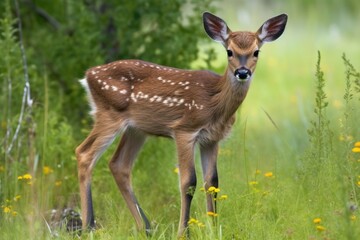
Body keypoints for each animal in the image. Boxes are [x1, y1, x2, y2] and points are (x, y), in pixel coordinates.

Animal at [75, 10, 286, 236]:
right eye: (229, 51)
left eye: (256, 52)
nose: (243, 72)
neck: (215, 102)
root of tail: (88, 75)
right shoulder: (185, 129)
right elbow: (189, 182)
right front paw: (183, 233)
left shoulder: (212, 139)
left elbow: (212, 182)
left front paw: (213, 229)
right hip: (109, 114)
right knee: (84, 153)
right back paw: (88, 227)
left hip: (136, 129)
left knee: (119, 165)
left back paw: (146, 228)